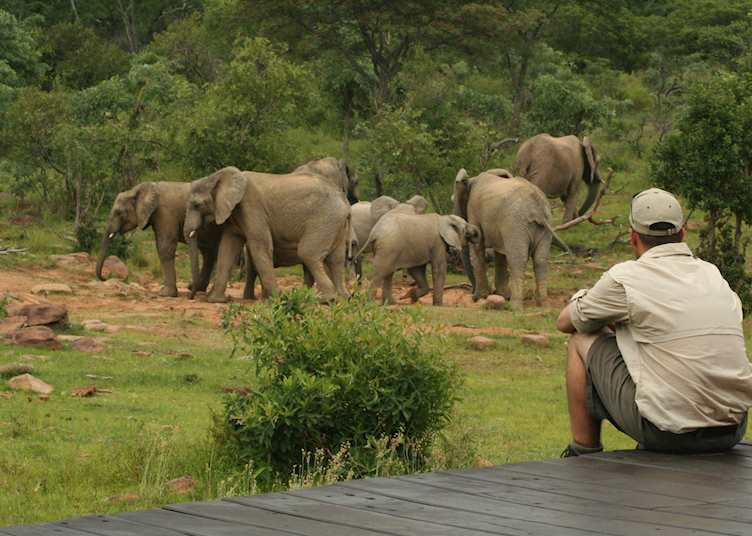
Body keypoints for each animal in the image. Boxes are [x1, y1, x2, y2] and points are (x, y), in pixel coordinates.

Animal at [184, 159, 352, 303]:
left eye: (197, 205)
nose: (191, 295)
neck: (217, 176)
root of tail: (344, 199)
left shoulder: (251, 206)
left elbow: (260, 246)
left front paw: (277, 299)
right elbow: (228, 247)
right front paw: (217, 300)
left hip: (325, 219)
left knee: (308, 254)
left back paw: (325, 299)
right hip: (336, 223)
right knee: (336, 259)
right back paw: (341, 298)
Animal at [453, 169, 566, 309]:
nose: (473, 295)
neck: (472, 179)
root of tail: (537, 207)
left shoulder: (473, 208)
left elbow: (478, 247)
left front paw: (481, 297)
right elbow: (500, 253)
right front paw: (500, 296)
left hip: (516, 224)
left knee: (517, 260)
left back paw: (514, 307)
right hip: (545, 225)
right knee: (540, 260)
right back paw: (544, 305)